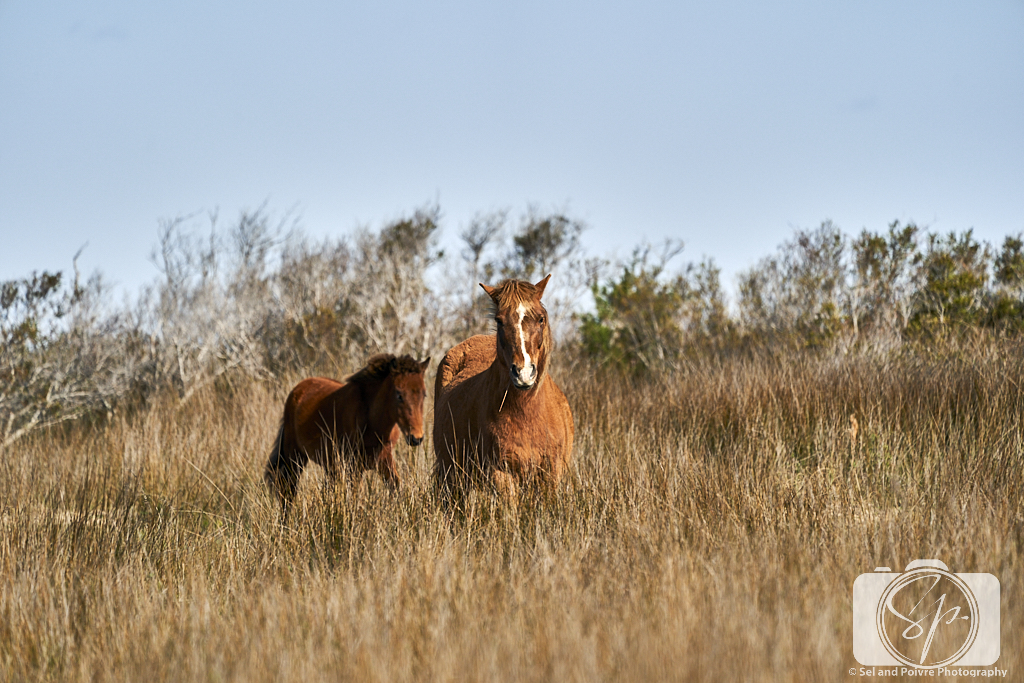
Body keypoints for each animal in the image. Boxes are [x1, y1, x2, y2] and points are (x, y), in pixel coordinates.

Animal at [264, 356, 428, 509]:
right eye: (399, 394)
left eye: (424, 394)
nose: (416, 438)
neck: (372, 420)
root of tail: (297, 390)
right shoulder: (353, 467)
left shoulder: (384, 460)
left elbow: (395, 488)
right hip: (294, 458)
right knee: (288, 493)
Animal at [432, 274, 577, 497]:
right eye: (499, 320)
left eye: (540, 318)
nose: (523, 373)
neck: (528, 414)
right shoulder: (501, 473)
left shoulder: (550, 475)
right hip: (452, 477)